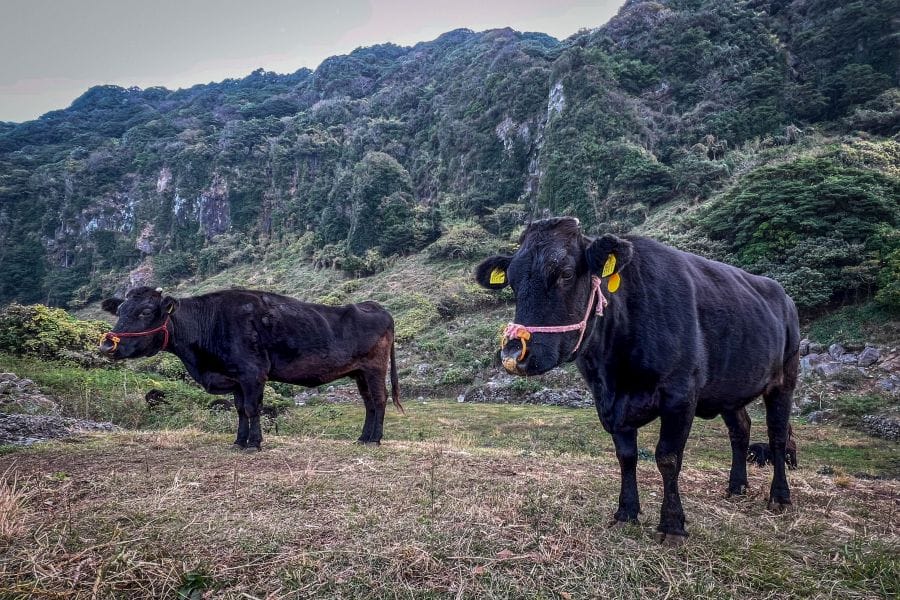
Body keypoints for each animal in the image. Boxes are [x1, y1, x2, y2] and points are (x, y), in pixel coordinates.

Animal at [99, 286, 402, 451]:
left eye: (146, 312)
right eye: (120, 310)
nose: (106, 345)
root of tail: (375, 306)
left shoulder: (253, 374)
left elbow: (252, 408)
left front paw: (253, 444)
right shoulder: (235, 379)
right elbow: (239, 410)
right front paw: (238, 441)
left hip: (374, 368)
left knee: (379, 400)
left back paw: (374, 439)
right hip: (359, 373)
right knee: (368, 403)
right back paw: (363, 438)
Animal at [475, 217, 799, 544]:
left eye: (565, 273)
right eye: (512, 281)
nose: (513, 353)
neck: (616, 372)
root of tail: (784, 295)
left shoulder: (680, 394)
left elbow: (668, 458)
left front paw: (672, 524)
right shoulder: (608, 403)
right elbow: (626, 456)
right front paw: (626, 513)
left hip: (786, 377)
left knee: (778, 434)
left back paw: (780, 497)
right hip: (729, 389)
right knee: (741, 429)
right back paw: (737, 487)